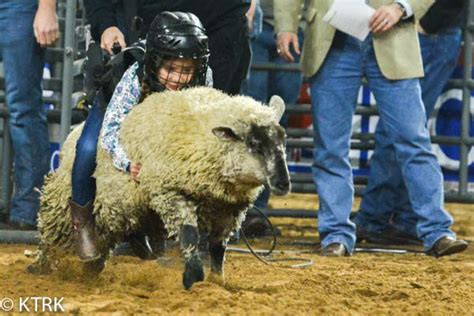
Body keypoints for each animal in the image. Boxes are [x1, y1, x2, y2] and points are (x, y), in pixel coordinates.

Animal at [29, 86, 290, 288]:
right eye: (254, 143)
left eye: (282, 139)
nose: (284, 183)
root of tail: (72, 134)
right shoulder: (168, 193)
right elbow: (189, 235)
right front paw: (194, 274)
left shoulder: (228, 210)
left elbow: (217, 247)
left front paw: (218, 282)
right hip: (62, 207)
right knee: (51, 237)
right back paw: (41, 266)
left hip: (122, 215)